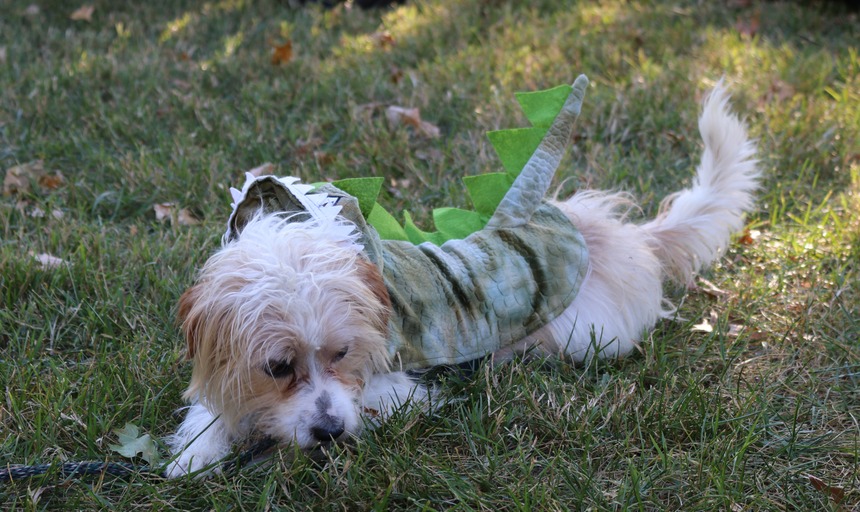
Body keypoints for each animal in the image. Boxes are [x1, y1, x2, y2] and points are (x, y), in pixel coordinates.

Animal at [166, 78, 760, 478]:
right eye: (277, 367)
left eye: (342, 352)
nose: (330, 434)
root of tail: (616, 234)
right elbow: (209, 412)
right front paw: (196, 454)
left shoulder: (397, 390)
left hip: (585, 337)